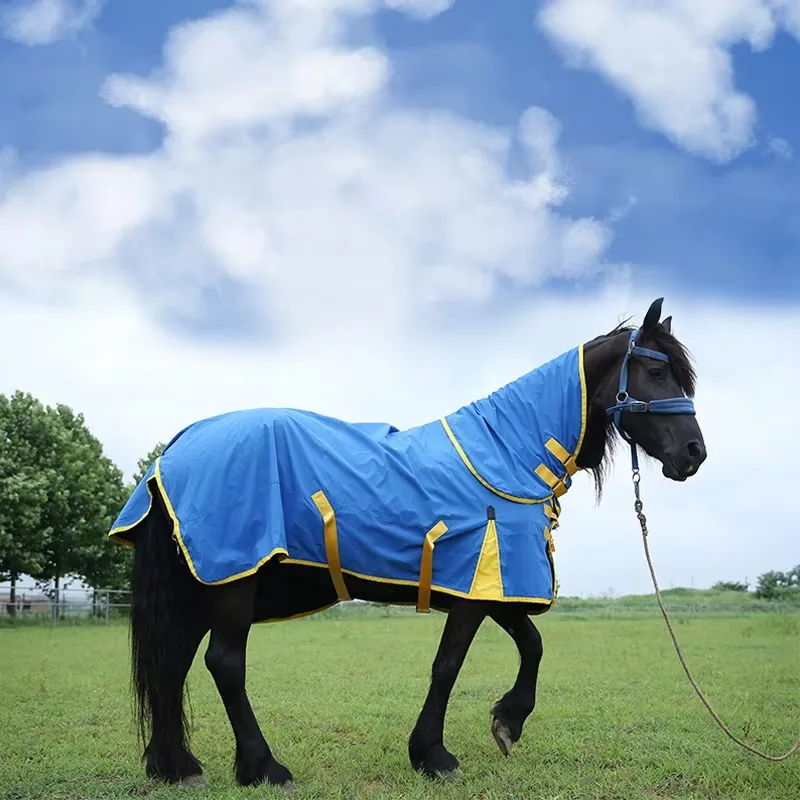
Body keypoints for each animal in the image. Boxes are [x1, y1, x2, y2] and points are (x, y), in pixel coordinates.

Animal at [109, 297, 706, 789]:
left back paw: (176, 767)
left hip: (200, 585)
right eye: (657, 370)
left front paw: (506, 722)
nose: (694, 454)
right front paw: (433, 755)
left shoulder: (490, 582)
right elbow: (449, 664)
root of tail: (174, 451)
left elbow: (531, 644)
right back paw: (263, 768)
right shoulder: (478, 580)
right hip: (232, 578)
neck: (509, 454)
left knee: (173, 664)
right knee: (224, 663)